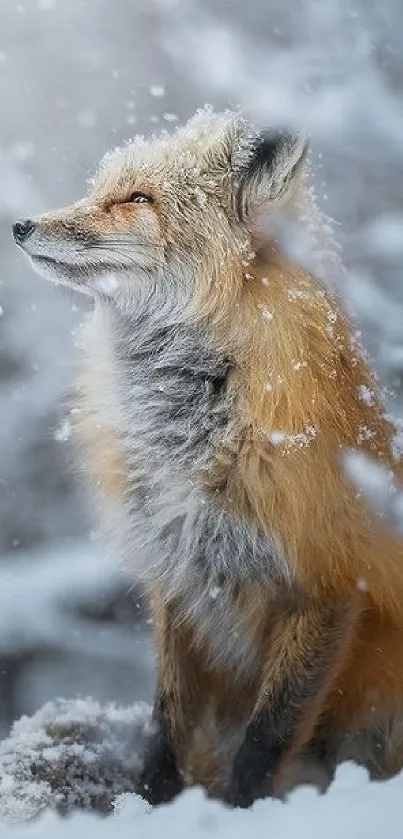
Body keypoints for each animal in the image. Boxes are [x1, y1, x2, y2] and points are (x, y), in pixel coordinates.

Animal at [12, 108, 403, 812]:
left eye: (137, 199)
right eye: (99, 188)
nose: (20, 225)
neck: (195, 447)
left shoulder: (329, 581)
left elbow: (266, 737)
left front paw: (243, 812)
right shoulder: (179, 575)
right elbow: (166, 723)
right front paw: (152, 801)